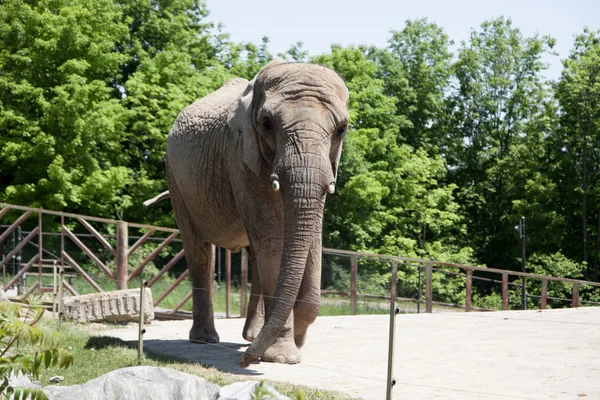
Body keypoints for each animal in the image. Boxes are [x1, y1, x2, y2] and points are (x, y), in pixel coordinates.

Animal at [164, 57, 350, 368]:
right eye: (267, 124)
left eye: (341, 130)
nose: (245, 361)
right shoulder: (239, 156)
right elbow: (272, 240)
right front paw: (285, 356)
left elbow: (311, 241)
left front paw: (293, 342)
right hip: (175, 179)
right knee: (199, 253)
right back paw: (206, 339)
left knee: (253, 255)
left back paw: (251, 337)